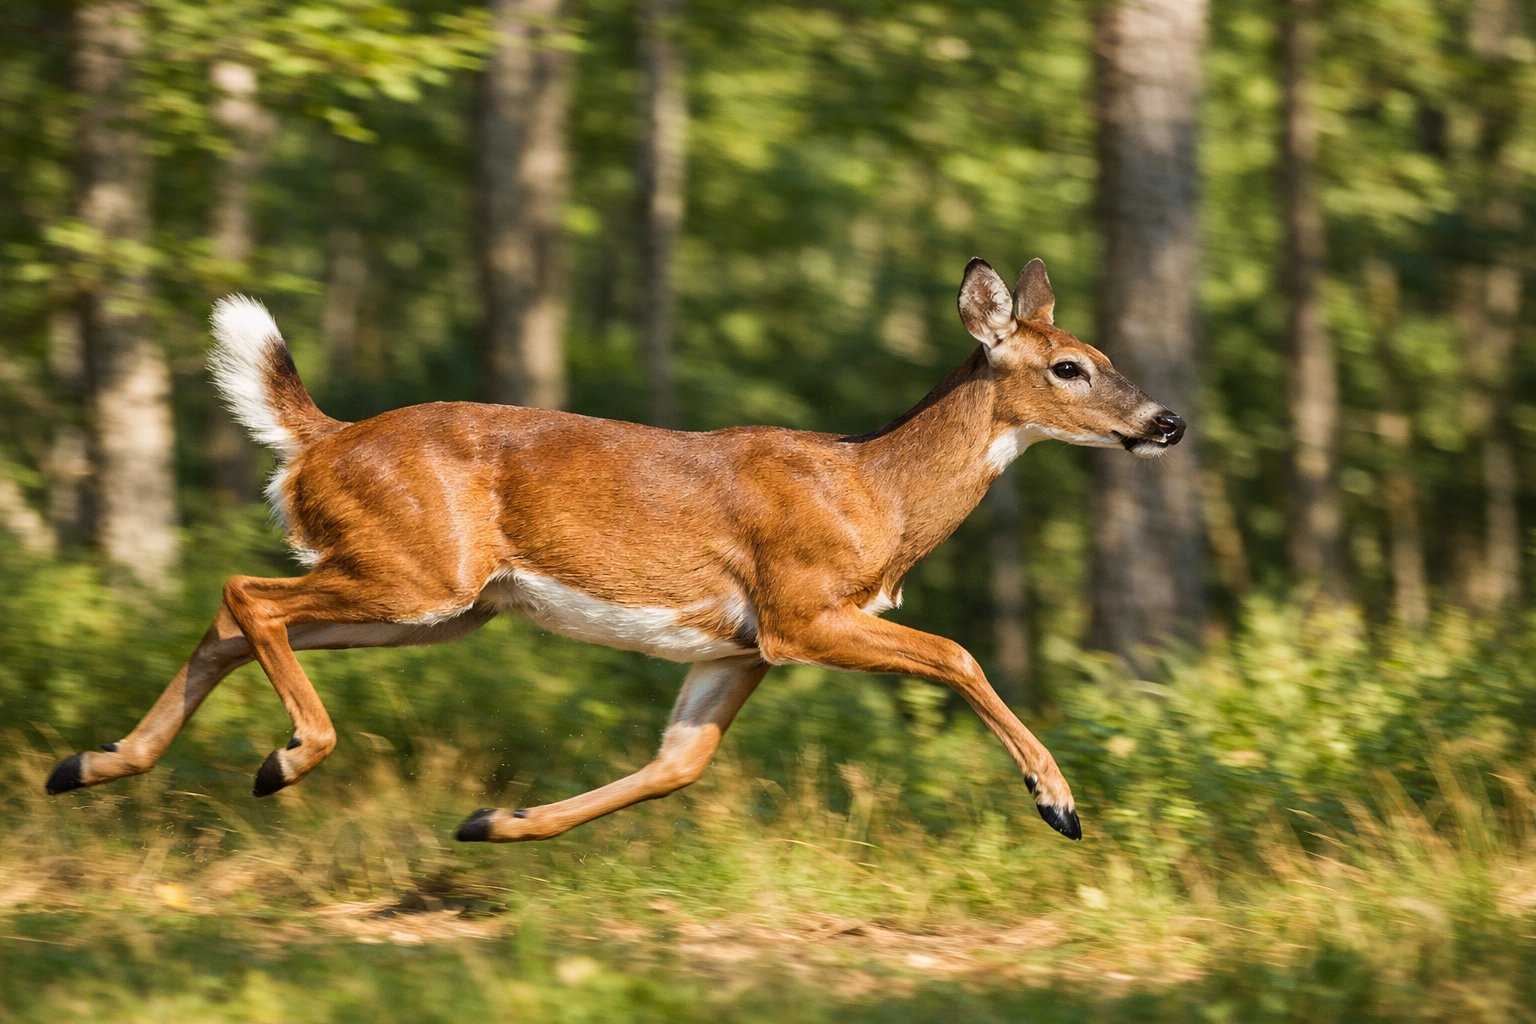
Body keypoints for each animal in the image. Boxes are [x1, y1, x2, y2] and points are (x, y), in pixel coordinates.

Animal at [45, 257, 1184, 843]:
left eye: (1108, 354)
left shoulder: (736, 646)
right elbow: (957, 653)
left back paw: (89, 762)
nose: (1167, 421)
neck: (877, 493)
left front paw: (494, 820)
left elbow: (680, 763)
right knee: (249, 592)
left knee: (232, 615)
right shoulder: (799, 608)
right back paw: (284, 759)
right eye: (1071, 366)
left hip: (440, 605)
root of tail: (320, 440)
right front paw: (1058, 801)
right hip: (418, 573)